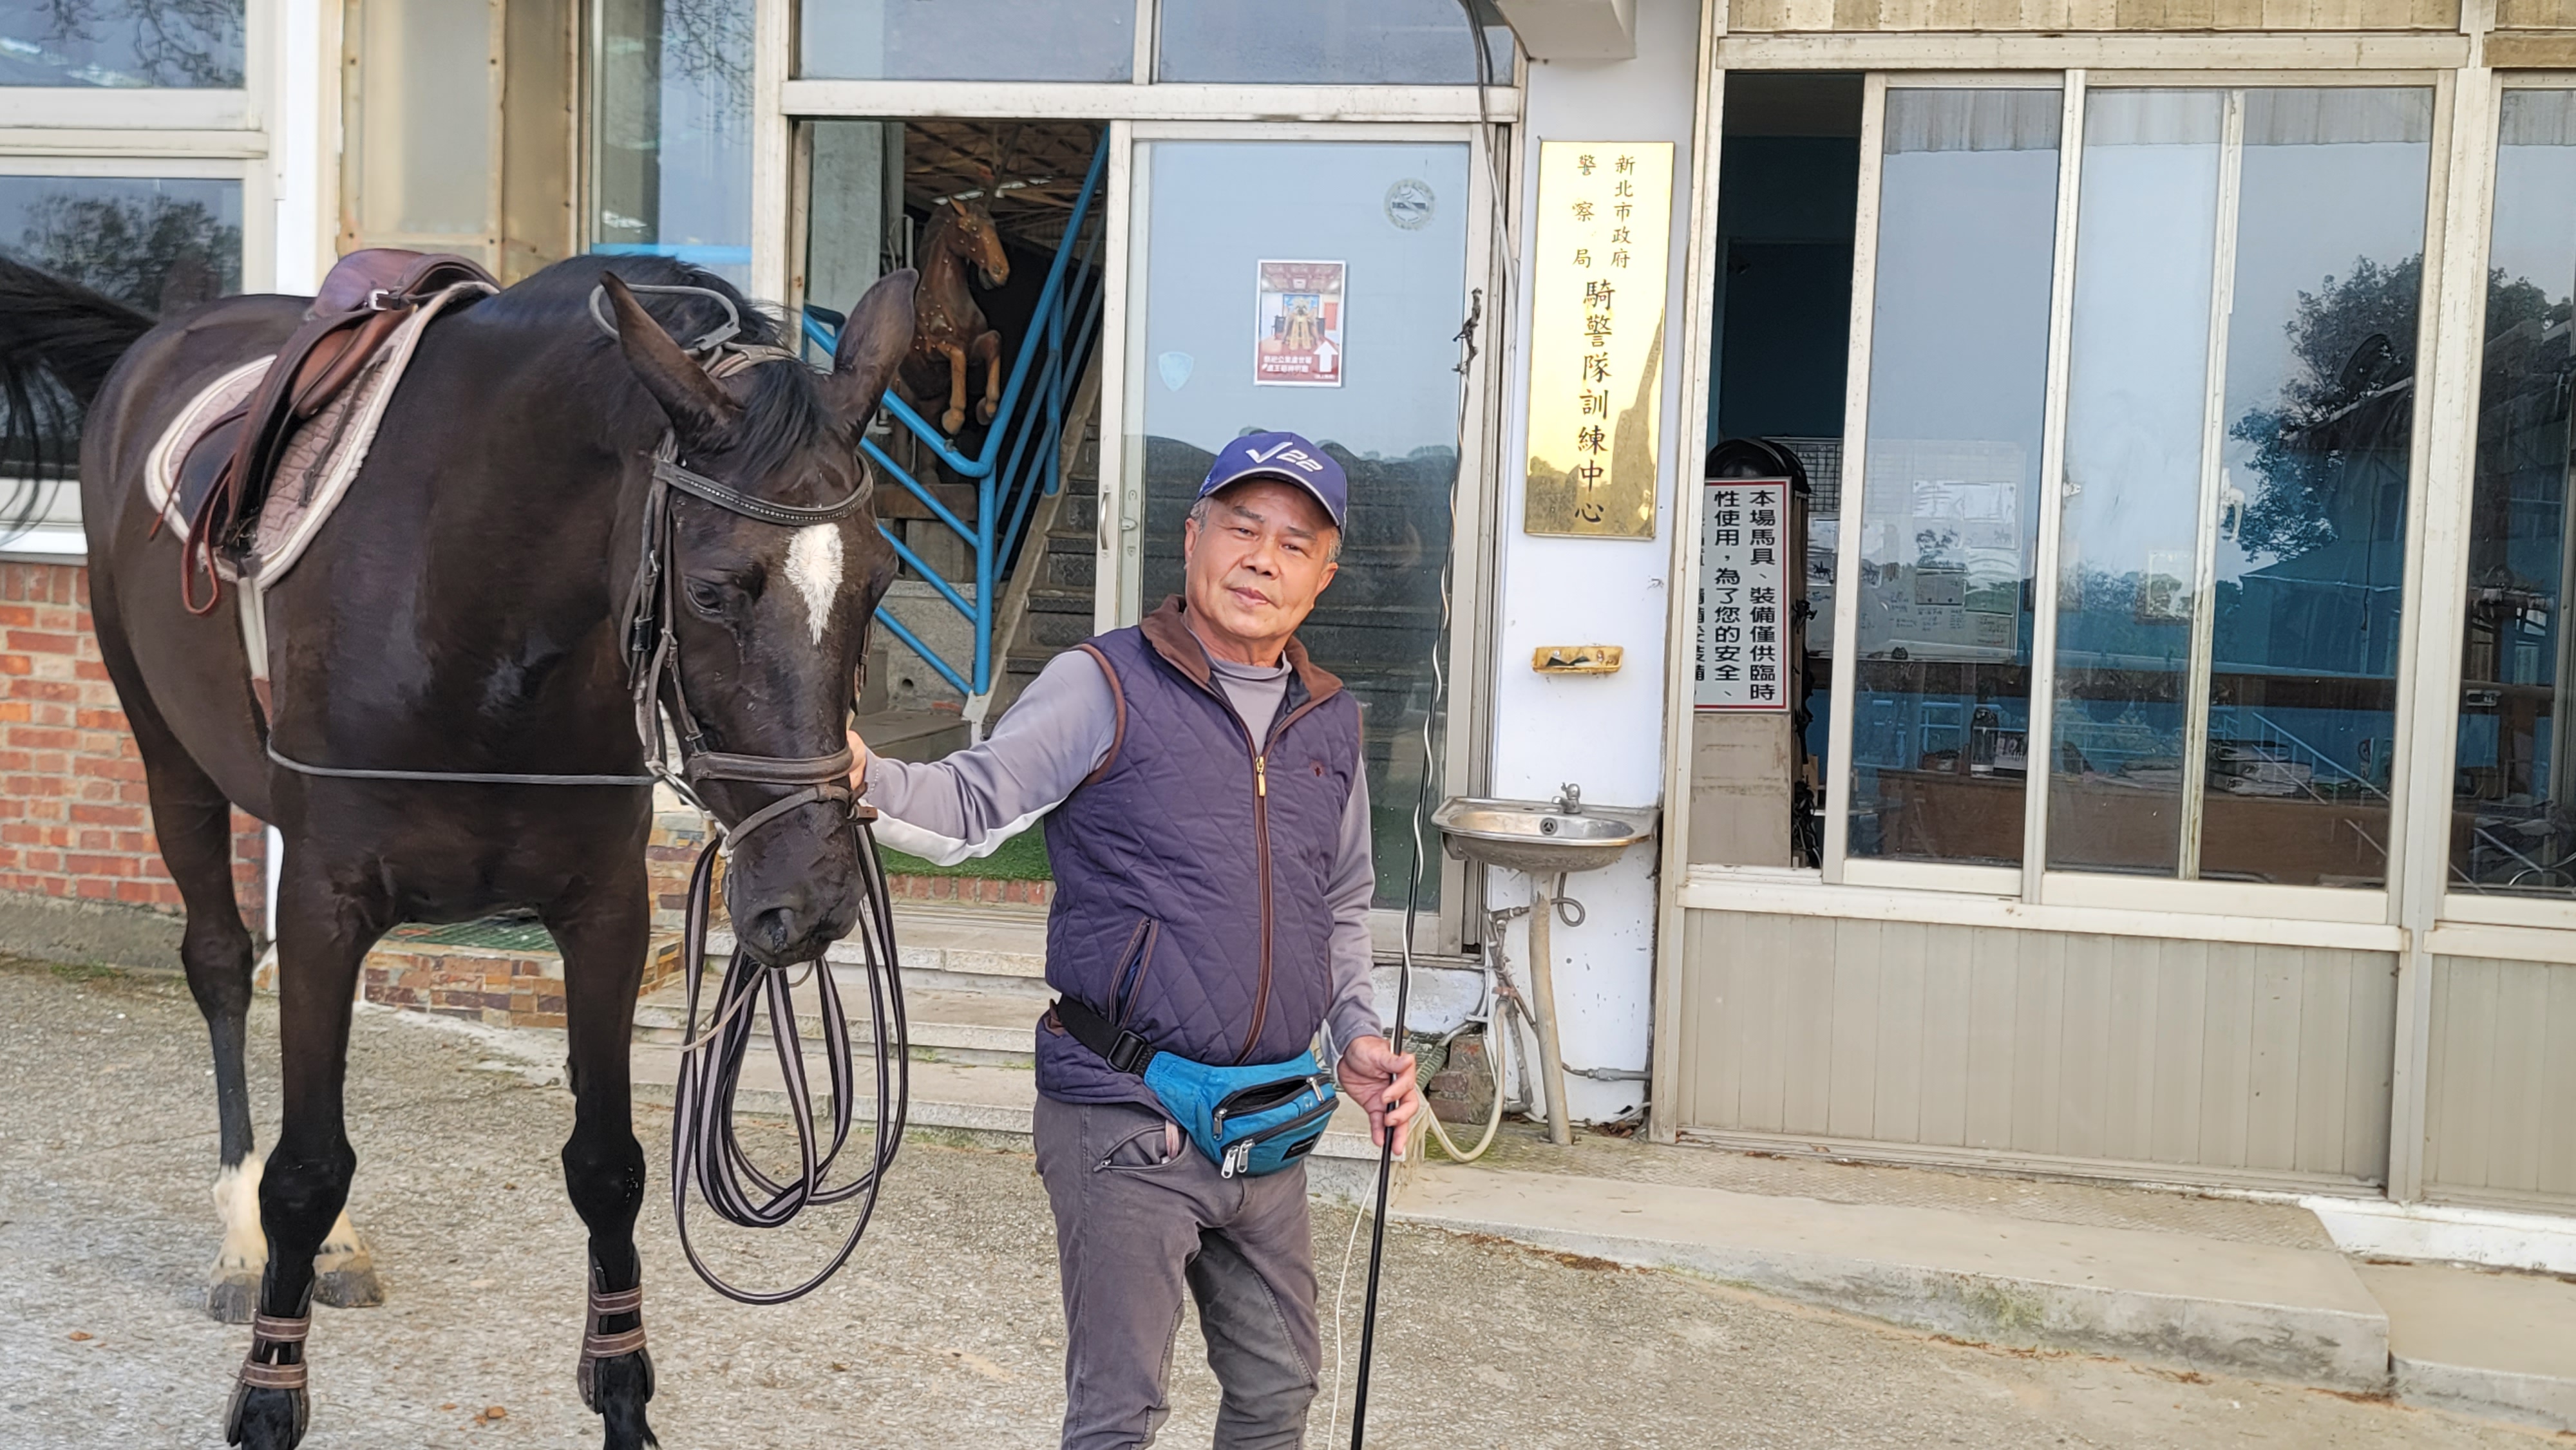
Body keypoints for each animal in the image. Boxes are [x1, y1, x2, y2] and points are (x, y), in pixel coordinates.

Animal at [0, 252, 914, 1449]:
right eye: (716, 589)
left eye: (878, 582)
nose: (808, 901)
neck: (476, 610)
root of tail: (163, 336)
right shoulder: (327, 903)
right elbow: (306, 1169)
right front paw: (268, 1393)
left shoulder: (606, 912)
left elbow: (608, 1168)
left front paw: (624, 1396)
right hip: (172, 767)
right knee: (220, 970)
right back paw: (244, 1241)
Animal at [896, 195, 1010, 436]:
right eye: (973, 228)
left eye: (994, 227)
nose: (1001, 273)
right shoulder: (936, 348)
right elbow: (958, 356)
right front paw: (954, 419)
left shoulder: (974, 347)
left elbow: (994, 340)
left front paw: (987, 409)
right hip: (902, 403)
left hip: (929, 408)